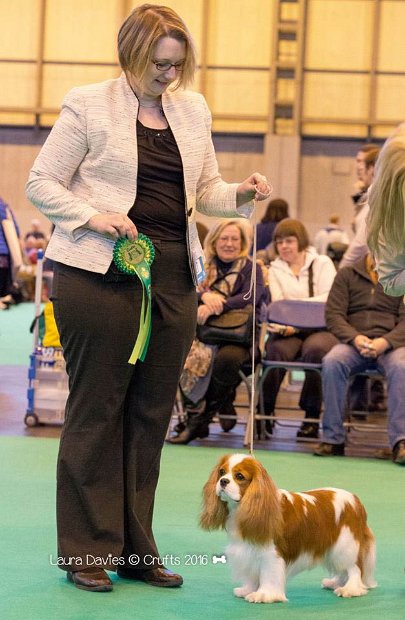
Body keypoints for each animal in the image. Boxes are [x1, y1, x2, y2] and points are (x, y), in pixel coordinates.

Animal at [200, 452, 376, 604]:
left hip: (345, 545)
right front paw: (248, 590)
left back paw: (350, 589)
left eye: (239, 476)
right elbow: (252, 574)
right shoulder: (248, 550)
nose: (223, 481)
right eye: (221, 472)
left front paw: (264, 595)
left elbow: (268, 575)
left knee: (354, 568)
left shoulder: (271, 554)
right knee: (343, 569)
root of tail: (356, 501)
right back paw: (335, 583)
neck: (242, 508)